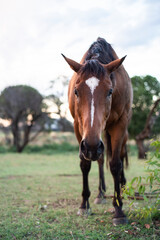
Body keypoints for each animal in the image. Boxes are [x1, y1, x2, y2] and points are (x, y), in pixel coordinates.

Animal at [62, 37, 132, 225]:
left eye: (110, 91)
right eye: (76, 91)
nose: (92, 147)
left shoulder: (120, 124)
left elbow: (115, 164)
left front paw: (119, 210)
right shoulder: (78, 126)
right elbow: (85, 164)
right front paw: (84, 205)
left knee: (120, 154)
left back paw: (122, 186)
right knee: (100, 159)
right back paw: (100, 194)